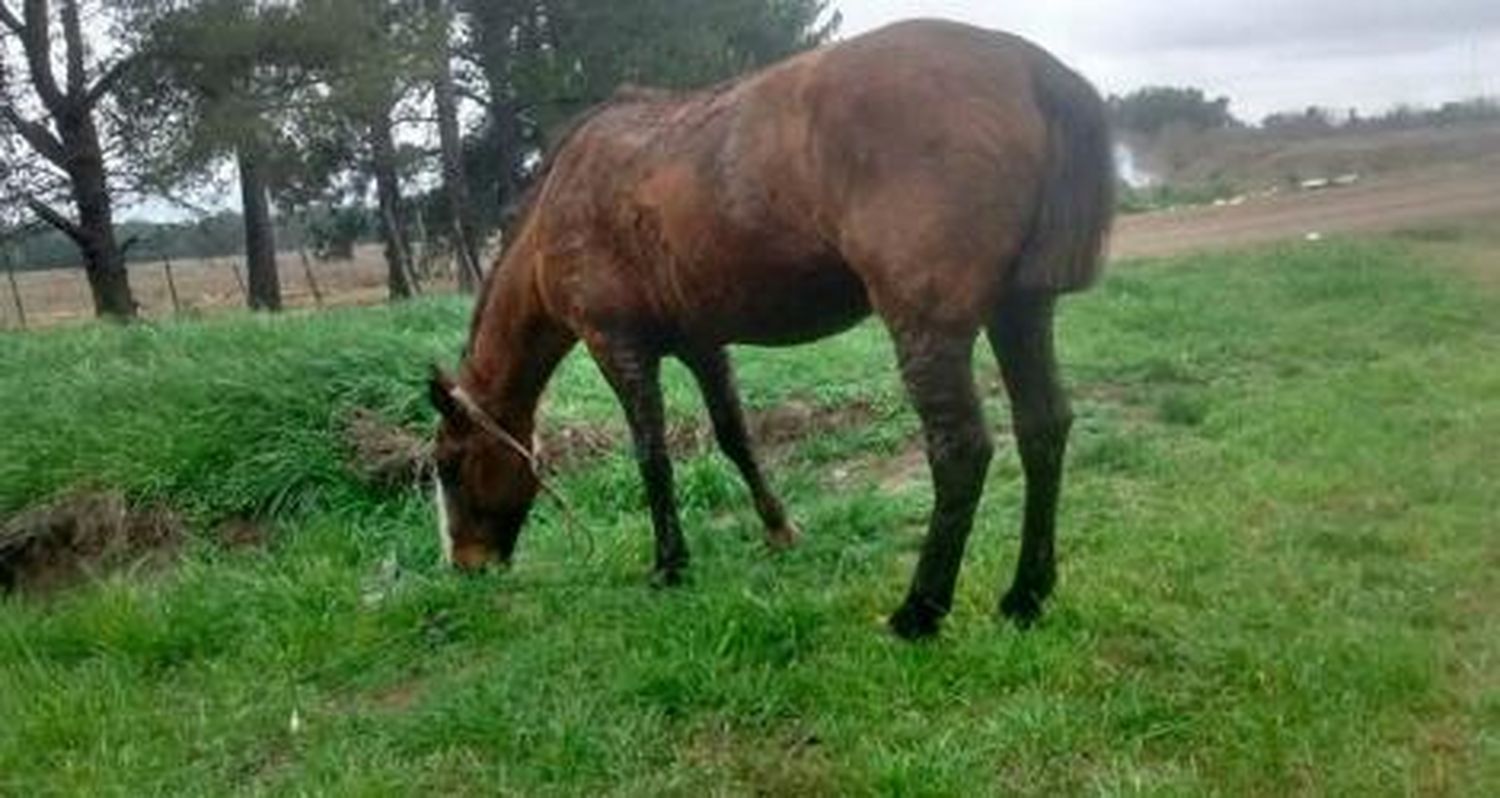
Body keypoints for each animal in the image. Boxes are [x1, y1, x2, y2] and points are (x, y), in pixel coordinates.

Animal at [429, 18, 1110, 639]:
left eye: (450, 465)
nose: (465, 565)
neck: (560, 204)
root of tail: (1031, 68)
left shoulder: (617, 346)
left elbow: (652, 456)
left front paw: (670, 565)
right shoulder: (703, 344)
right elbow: (736, 437)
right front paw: (779, 529)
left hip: (928, 327)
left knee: (961, 450)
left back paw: (920, 610)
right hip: (1021, 309)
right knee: (1043, 427)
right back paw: (1025, 596)